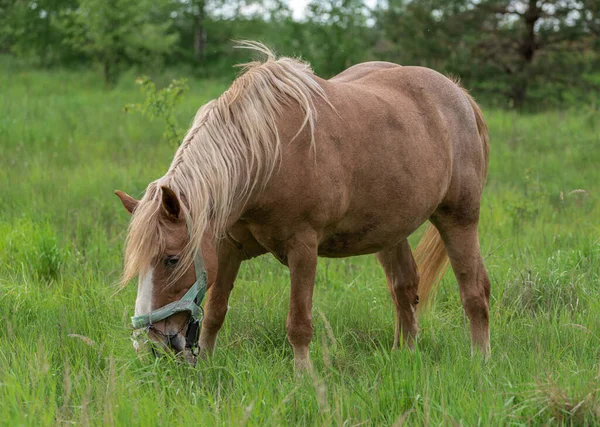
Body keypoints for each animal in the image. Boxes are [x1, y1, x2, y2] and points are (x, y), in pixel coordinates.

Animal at [115, 41, 490, 372]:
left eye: (171, 259)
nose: (147, 346)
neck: (266, 156)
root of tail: (460, 94)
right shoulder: (227, 248)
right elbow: (216, 311)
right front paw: (206, 365)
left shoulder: (303, 248)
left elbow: (298, 322)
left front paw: (303, 378)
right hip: (390, 232)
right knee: (406, 289)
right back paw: (406, 356)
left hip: (460, 220)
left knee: (475, 291)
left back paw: (479, 362)